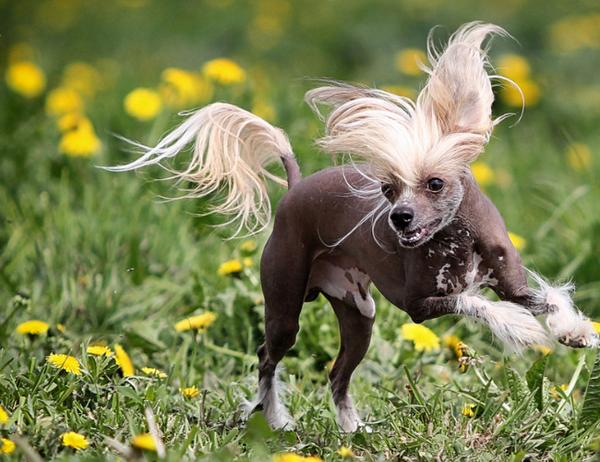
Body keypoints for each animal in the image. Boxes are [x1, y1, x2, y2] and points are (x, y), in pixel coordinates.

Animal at [105, 22, 596, 434]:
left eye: (434, 183)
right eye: (387, 188)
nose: (399, 218)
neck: (457, 239)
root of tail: (295, 189)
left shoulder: (511, 284)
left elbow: (545, 298)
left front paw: (573, 330)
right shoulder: (419, 305)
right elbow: (474, 302)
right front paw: (520, 328)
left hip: (360, 315)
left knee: (337, 373)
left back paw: (351, 430)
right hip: (285, 306)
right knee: (268, 357)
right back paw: (276, 418)